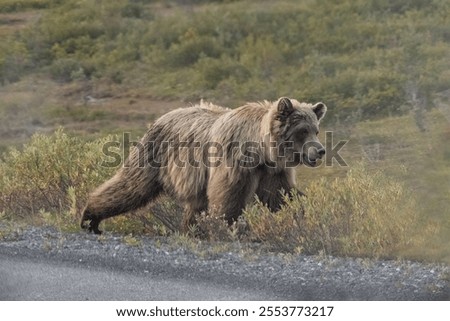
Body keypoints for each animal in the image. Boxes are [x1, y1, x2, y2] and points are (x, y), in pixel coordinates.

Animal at [81, 96, 326, 234]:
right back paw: (90, 217)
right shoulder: (235, 161)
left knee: (194, 206)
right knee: (132, 185)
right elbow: (228, 197)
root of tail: (163, 116)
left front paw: (305, 213)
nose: (320, 150)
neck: (260, 148)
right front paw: (231, 227)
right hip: (155, 153)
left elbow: (281, 195)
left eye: (316, 130)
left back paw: (191, 230)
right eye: (302, 130)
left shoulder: (271, 169)